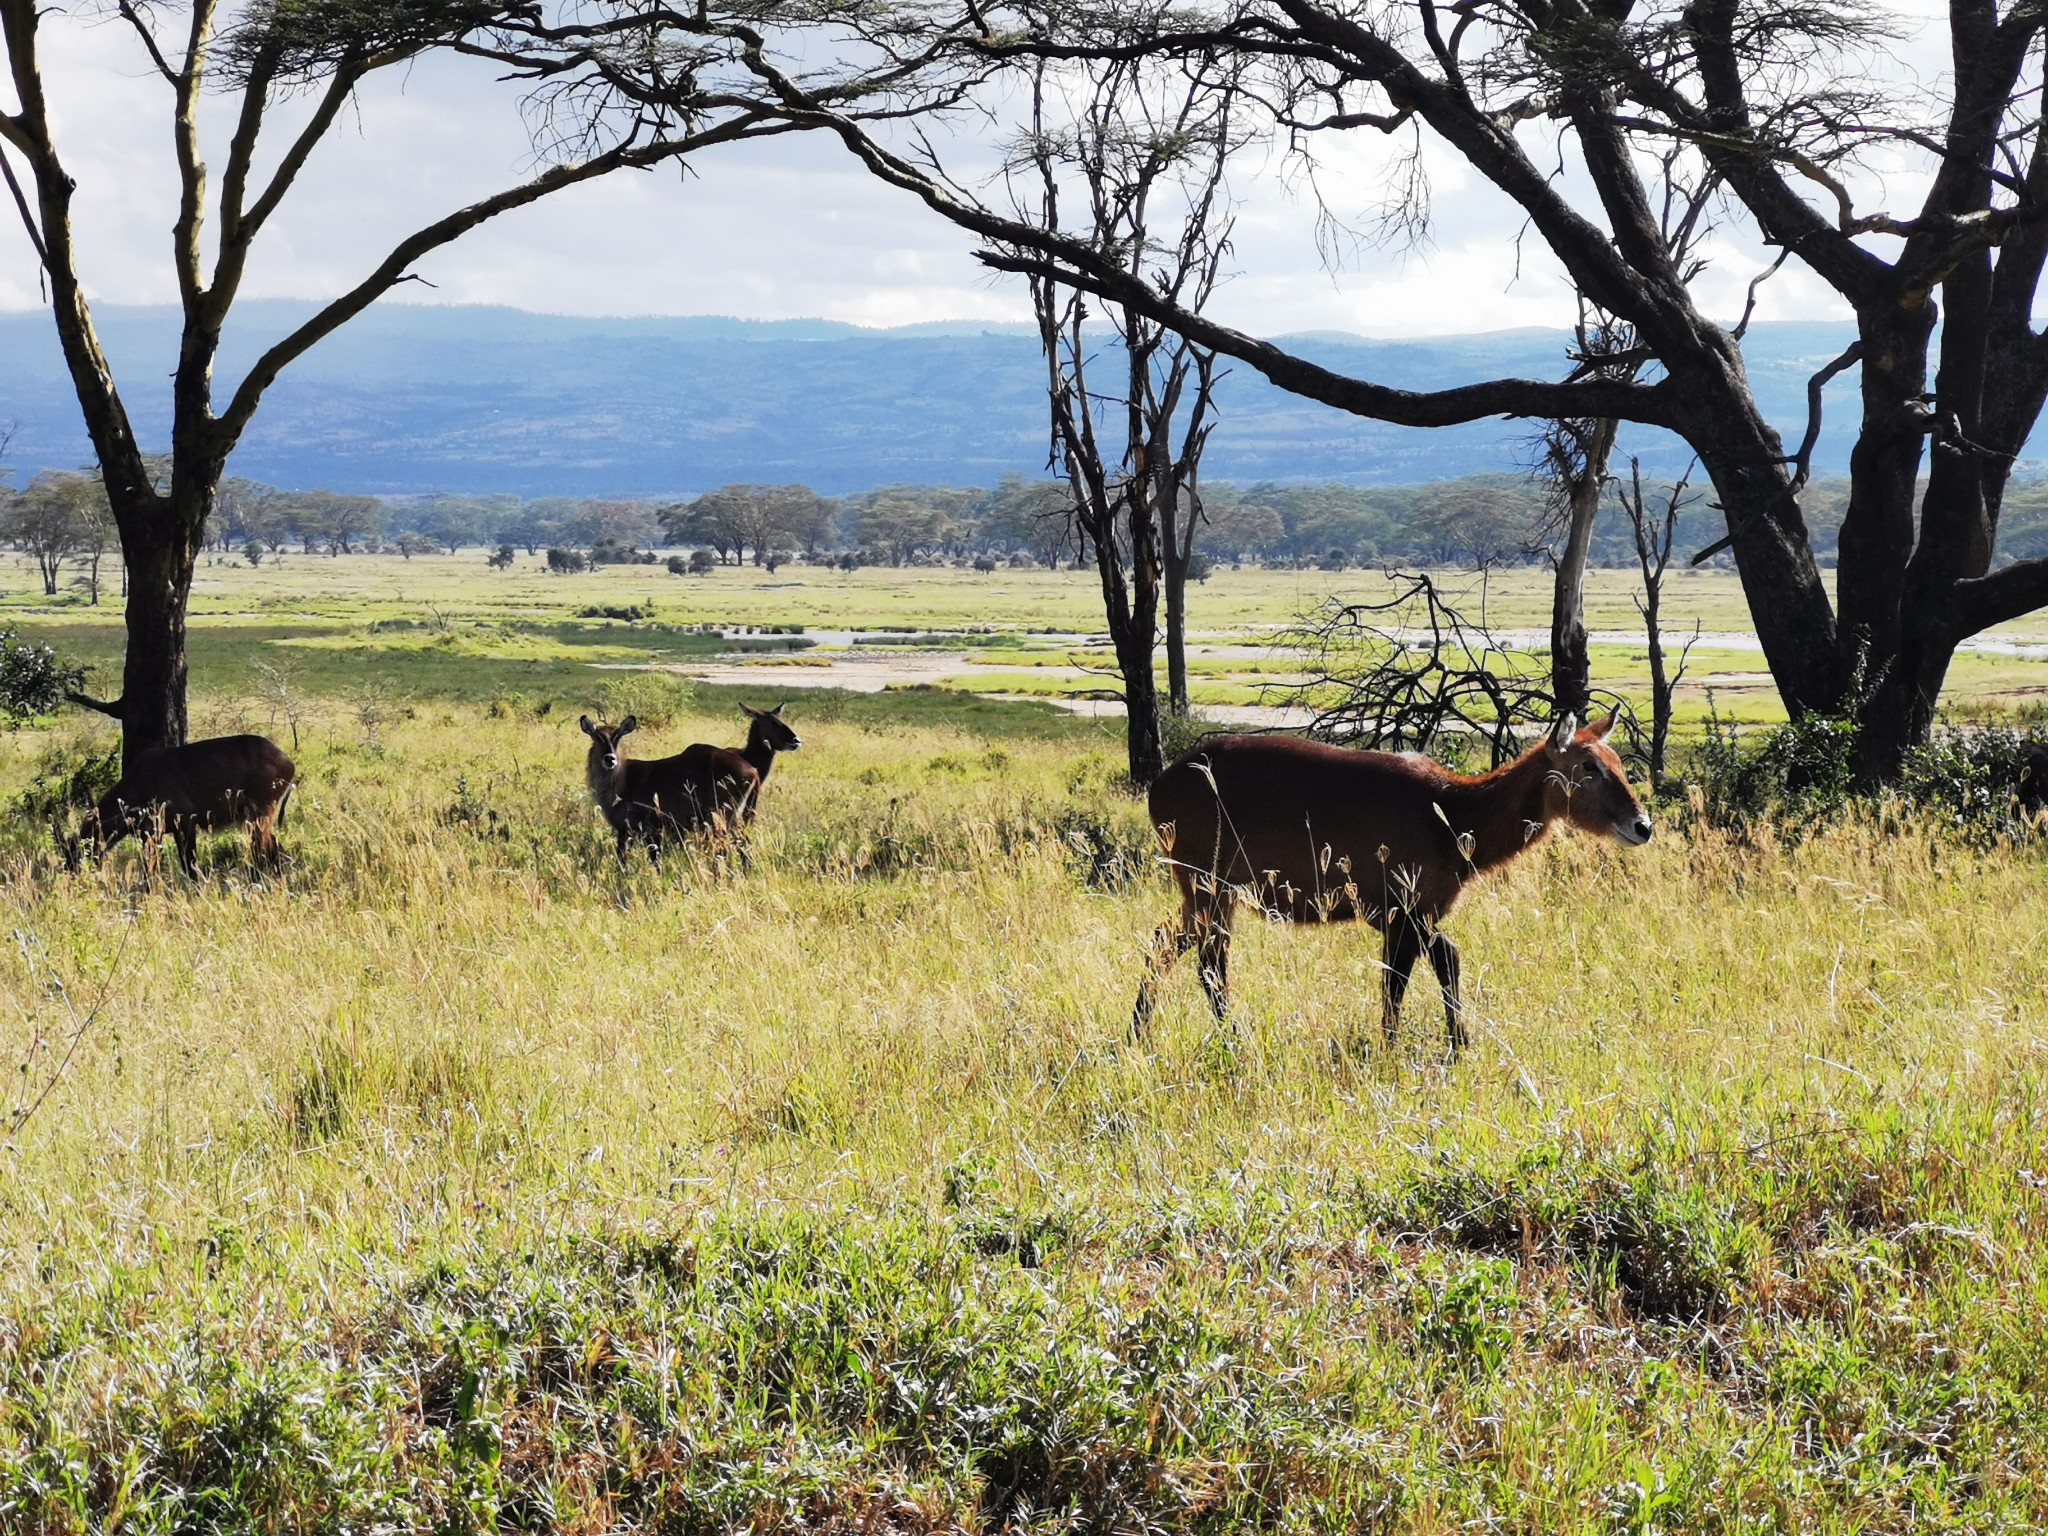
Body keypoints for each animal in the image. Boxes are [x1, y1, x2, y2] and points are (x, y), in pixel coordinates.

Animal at [66, 737, 299, 876]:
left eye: (79, 848)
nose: (71, 872)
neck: (139, 783)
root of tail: (289, 763)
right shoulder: (154, 832)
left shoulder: (186, 822)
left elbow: (189, 865)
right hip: (255, 818)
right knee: (273, 849)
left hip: (260, 813)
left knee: (266, 850)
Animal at [581, 708, 802, 868]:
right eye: (597, 737)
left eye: (618, 736)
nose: (610, 758)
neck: (624, 779)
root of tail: (753, 771)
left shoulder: (638, 829)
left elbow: (637, 863)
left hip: (725, 817)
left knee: (736, 846)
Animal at [1138, 712, 1646, 1056]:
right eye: (1588, 765)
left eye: (1617, 761)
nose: (1642, 825)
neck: (1455, 815)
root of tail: (1157, 788)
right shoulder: (1403, 910)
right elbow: (1398, 980)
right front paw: (1393, 1047)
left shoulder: (1410, 914)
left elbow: (1444, 960)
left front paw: (1459, 1045)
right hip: (1209, 885)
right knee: (1207, 960)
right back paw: (1230, 1039)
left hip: (1210, 891)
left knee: (1167, 944)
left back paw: (1140, 1034)